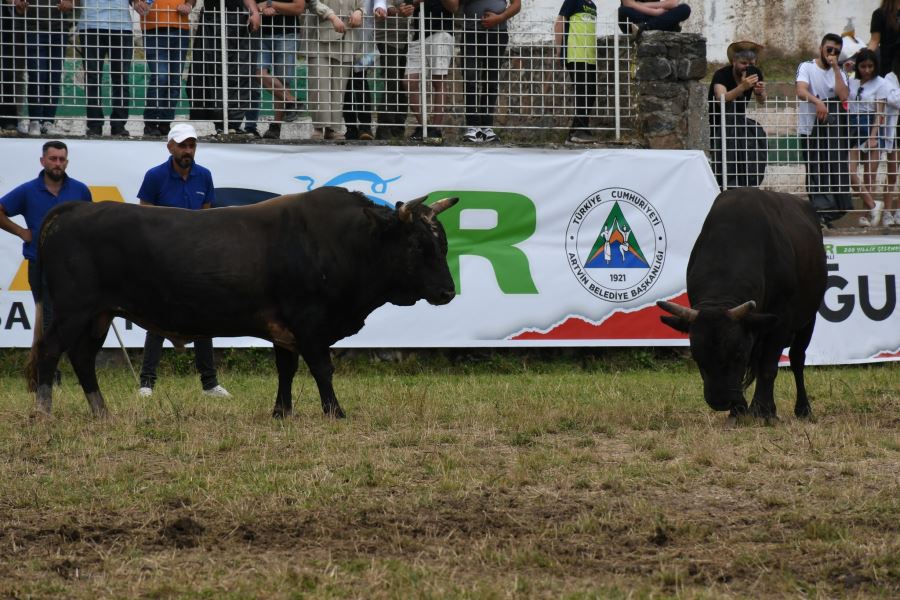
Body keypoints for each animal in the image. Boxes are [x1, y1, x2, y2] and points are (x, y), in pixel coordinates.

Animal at [25, 188, 460, 418]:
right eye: (417, 246)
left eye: (442, 243)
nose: (447, 293)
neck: (342, 241)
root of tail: (76, 208)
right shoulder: (309, 322)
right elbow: (322, 367)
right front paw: (335, 412)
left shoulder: (285, 329)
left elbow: (287, 369)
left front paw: (282, 412)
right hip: (73, 310)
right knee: (51, 353)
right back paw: (45, 412)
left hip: (98, 315)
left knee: (82, 358)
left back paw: (101, 411)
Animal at [656, 190, 828, 420]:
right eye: (697, 356)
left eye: (738, 354)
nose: (720, 401)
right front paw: (738, 410)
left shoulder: (781, 319)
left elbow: (768, 366)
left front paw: (762, 410)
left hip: (808, 320)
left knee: (797, 359)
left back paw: (803, 409)